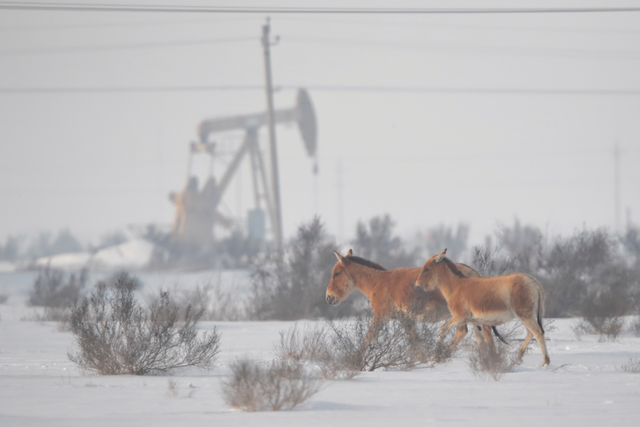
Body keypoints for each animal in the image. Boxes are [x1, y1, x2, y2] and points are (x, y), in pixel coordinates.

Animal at [324, 251, 500, 348]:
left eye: (336, 274)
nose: (328, 297)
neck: (378, 282)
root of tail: (472, 273)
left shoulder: (380, 317)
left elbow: (368, 340)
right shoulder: (406, 320)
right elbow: (415, 345)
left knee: (463, 332)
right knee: (482, 335)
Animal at [416, 249, 552, 366]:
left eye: (426, 269)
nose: (417, 285)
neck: (456, 286)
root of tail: (534, 283)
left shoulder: (460, 317)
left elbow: (442, 329)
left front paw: (437, 353)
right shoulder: (475, 321)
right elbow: (480, 341)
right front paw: (485, 361)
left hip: (525, 315)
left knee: (538, 333)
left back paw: (545, 362)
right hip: (525, 316)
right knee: (530, 333)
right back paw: (518, 358)